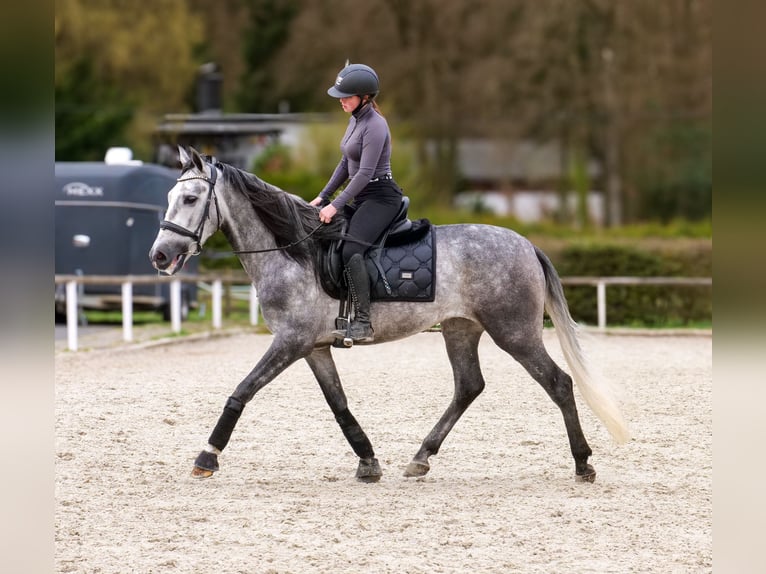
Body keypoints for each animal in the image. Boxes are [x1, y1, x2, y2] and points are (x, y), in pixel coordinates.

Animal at [149, 146, 630, 484]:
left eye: (190, 198)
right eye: (169, 196)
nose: (160, 255)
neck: (291, 252)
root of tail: (526, 244)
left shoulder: (289, 341)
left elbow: (241, 391)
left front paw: (207, 456)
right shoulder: (313, 346)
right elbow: (339, 404)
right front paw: (367, 460)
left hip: (514, 333)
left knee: (558, 383)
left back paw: (583, 464)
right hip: (460, 329)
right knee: (468, 386)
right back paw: (420, 459)